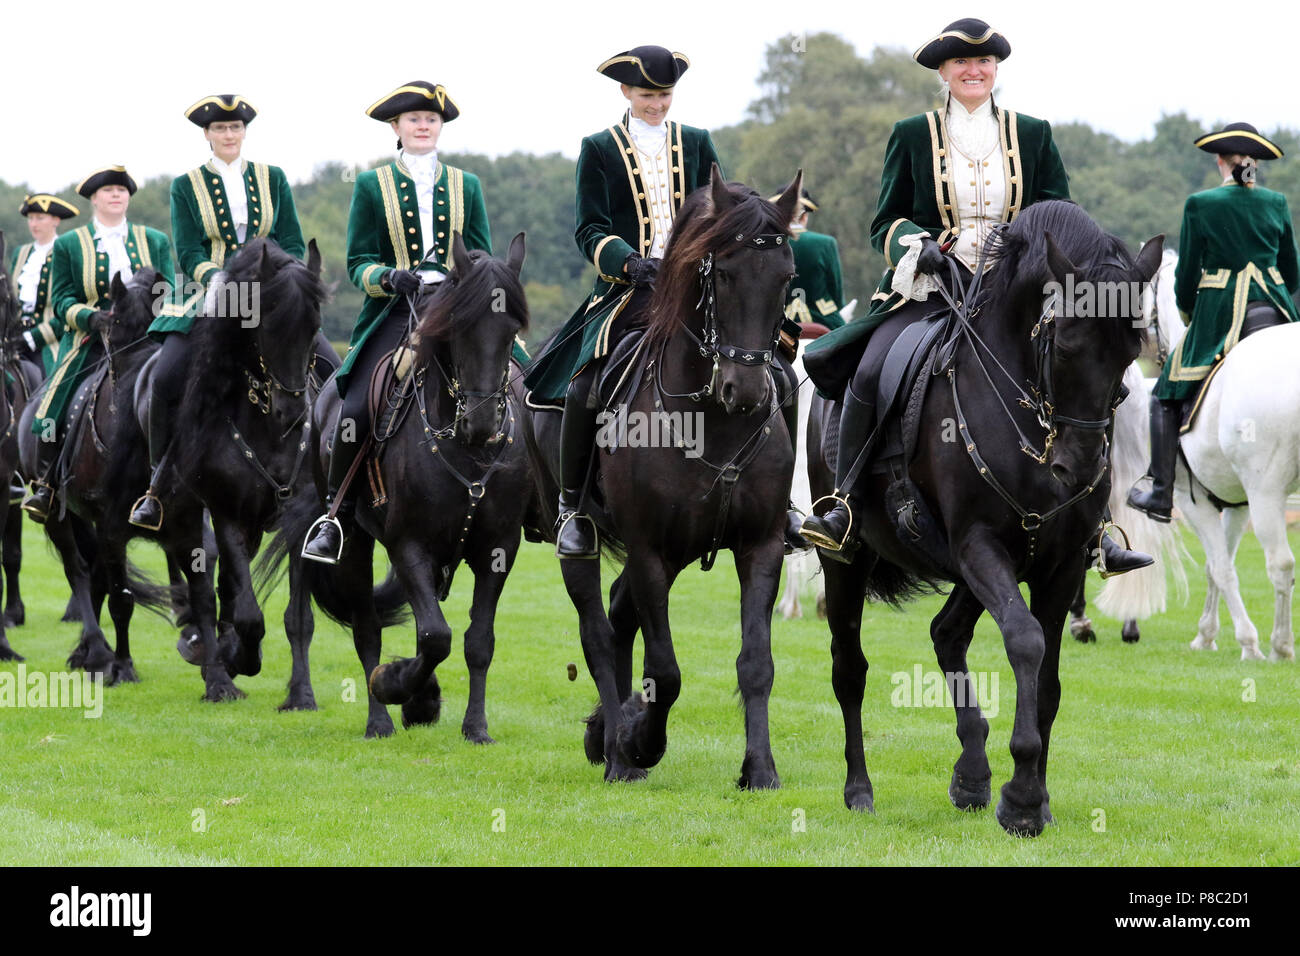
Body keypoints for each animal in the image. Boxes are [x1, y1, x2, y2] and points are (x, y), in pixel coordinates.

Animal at [158, 239, 335, 702]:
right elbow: (249, 614)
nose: (293, 412)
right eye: (264, 323)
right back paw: (217, 676)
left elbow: (297, 618)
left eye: (314, 326)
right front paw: (241, 659)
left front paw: (300, 695)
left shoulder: (301, 520)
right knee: (205, 595)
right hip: (188, 519)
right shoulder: (227, 517)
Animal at [263, 231, 533, 738]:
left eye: (511, 331)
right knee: (367, 628)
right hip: (352, 538)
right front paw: (395, 684)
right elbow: (435, 635)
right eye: (458, 328)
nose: (483, 425)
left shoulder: (497, 548)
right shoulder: (407, 544)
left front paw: (475, 727)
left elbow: (478, 641)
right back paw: (380, 717)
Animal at [522, 167, 795, 790]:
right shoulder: (650, 550)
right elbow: (665, 669)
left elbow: (756, 663)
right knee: (599, 633)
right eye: (723, 272)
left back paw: (608, 731)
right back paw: (620, 753)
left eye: (787, 277)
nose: (746, 392)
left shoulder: (761, 545)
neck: (712, 422)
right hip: (584, 536)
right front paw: (642, 741)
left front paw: (760, 769)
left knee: (620, 618)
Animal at [806, 197, 1164, 832]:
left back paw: (971, 773)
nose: (1077, 466)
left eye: (1129, 351)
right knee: (850, 669)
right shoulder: (979, 545)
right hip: (849, 561)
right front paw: (1020, 797)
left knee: (946, 634)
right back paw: (860, 790)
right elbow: (1025, 641)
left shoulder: (1057, 562)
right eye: (1065, 344)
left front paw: (1034, 796)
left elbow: (1048, 679)